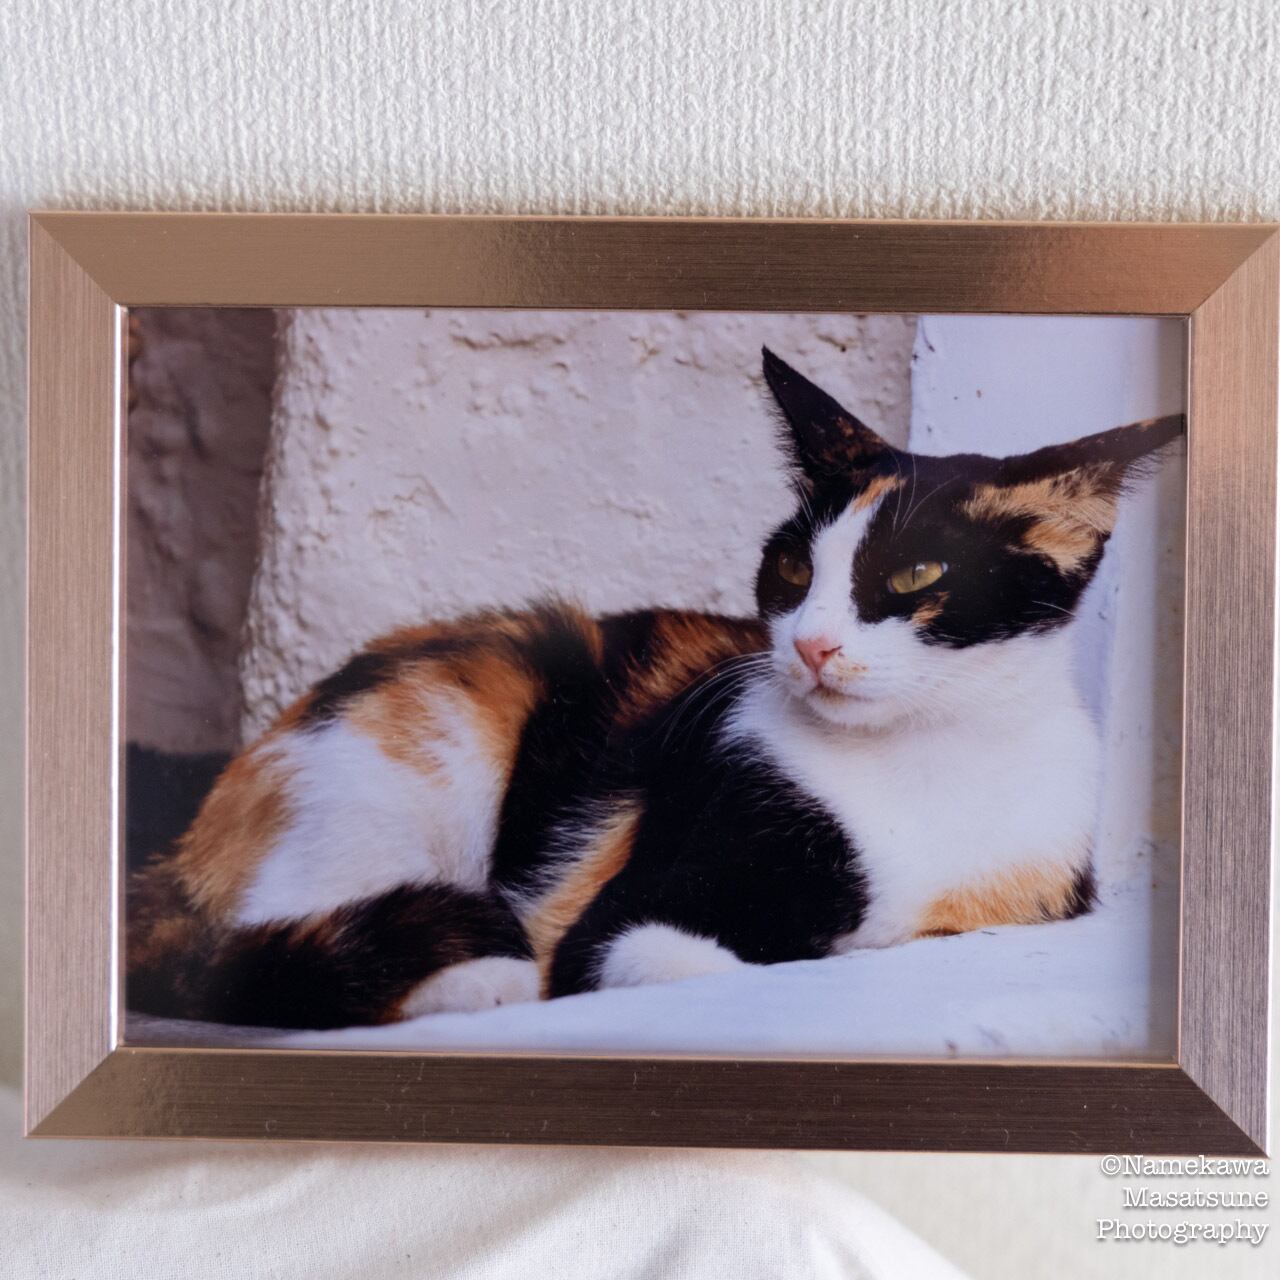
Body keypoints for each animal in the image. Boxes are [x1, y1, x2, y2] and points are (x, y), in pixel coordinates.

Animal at [126, 347, 1182, 1029]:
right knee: (254, 951)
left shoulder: (1032, 896)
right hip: (432, 743)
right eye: (793, 568)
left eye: (918, 576)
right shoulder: (625, 911)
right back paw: (473, 979)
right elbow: (677, 959)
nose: (813, 646)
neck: (923, 762)